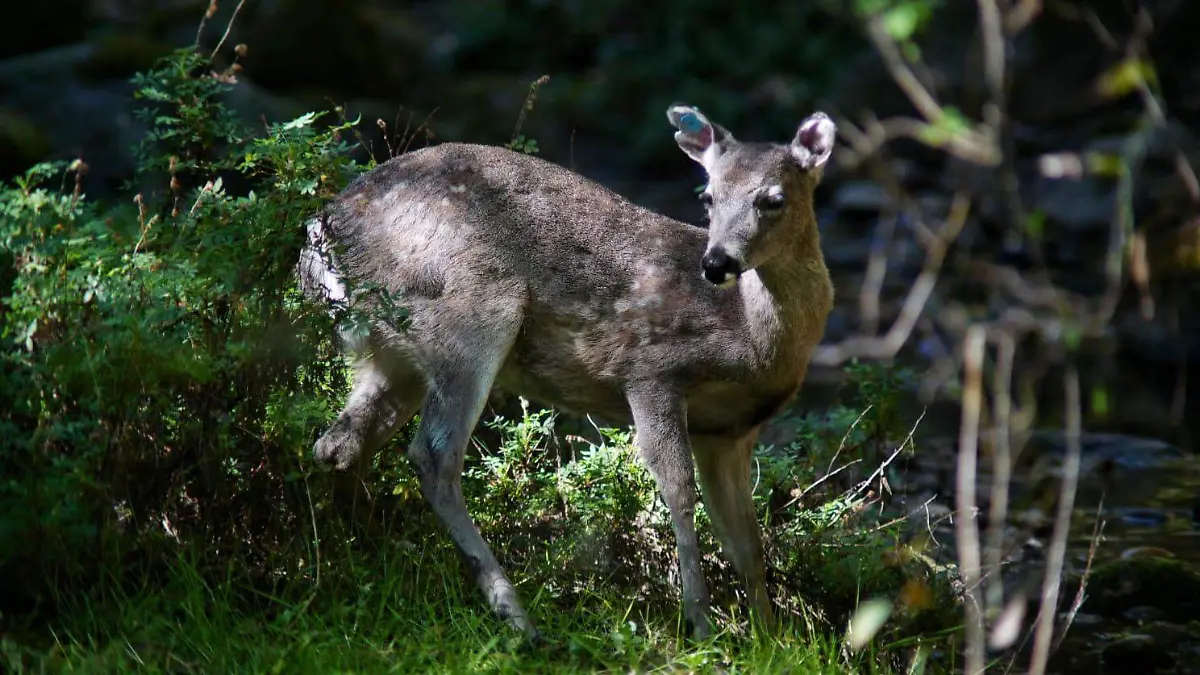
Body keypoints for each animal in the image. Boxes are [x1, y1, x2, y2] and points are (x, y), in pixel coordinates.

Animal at [296, 102, 840, 638]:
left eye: (773, 199)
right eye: (707, 197)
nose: (716, 262)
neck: (750, 340)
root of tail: (320, 239)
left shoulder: (730, 432)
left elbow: (746, 539)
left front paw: (769, 636)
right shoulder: (650, 369)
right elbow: (679, 492)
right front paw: (701, 624)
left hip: (395, 357)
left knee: (339, 444)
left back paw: (367, 561)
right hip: (471, 308)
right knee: (433, 455)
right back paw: (515, 615)